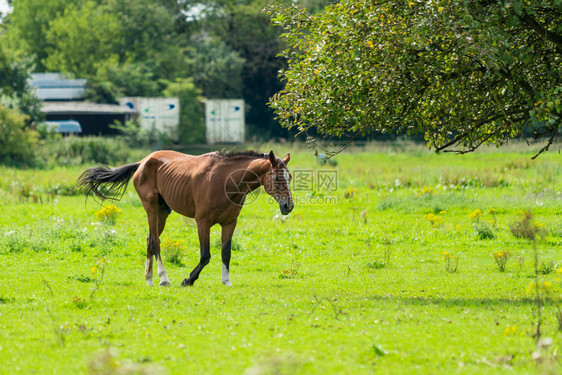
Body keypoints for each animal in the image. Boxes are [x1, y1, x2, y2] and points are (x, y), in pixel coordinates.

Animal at [77, 150, 294, 288]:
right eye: (276, 178)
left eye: (290, 177)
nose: (288, 206)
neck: (226, 181)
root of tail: (143, 162)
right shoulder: (203, 222)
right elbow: (205, 255)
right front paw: (188, 280)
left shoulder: (229, 223)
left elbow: (226, 253)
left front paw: (226, 281)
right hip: (151, 209)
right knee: (155, 242)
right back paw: (163, 279)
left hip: (163, 212)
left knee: (149, 240)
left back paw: (149, 279)